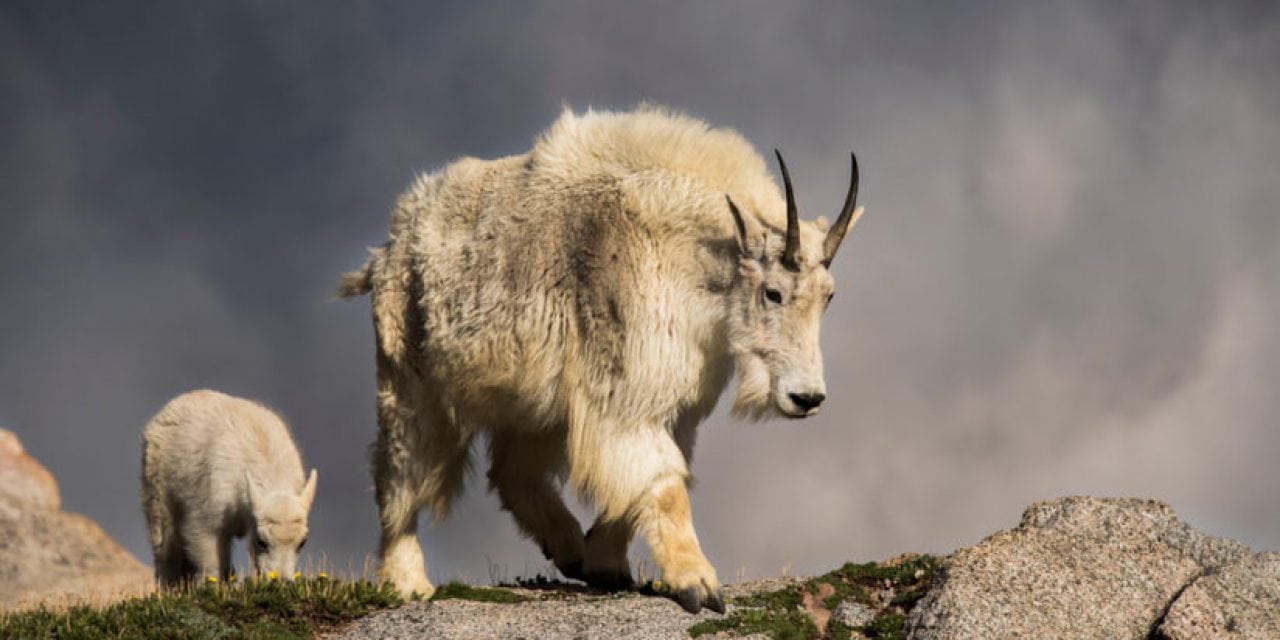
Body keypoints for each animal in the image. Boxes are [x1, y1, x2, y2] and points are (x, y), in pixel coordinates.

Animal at [140, 386, 317, 586]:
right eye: (262, 541)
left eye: (302, 542)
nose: (281, 581)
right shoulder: (207, 518)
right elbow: (211, 561)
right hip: (157, 493)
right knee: (165, 548)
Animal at [337, 106, 870, 614]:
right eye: (773, 292)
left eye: (829, 296)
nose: (807, 397)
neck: (690, 262)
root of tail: (388, 247)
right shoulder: (626, 390)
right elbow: (664, 481)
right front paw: (698, 583)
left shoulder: (668, 404)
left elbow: (648, 479)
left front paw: (605, 563)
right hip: (410, 377)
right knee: (401, 471)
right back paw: (407, 581)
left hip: (529, 401)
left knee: (512, 471)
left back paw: (569, 548)